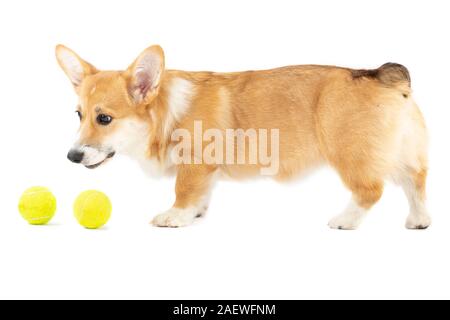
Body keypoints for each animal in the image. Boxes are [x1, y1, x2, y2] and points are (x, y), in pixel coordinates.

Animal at [57, 45, 432, 230]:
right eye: (78, 115)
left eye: (104, 118)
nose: (72, 157)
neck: (166, 112)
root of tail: (381, 75)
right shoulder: (206, 173)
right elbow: (201, 194)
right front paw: (196, 214)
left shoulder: (195, 164)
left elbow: (183, 190)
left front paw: (175, 217)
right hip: (400, 150)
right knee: (416, 180)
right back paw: (419, 220)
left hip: (350, 153)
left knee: (371, 190)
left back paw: (345, 221)